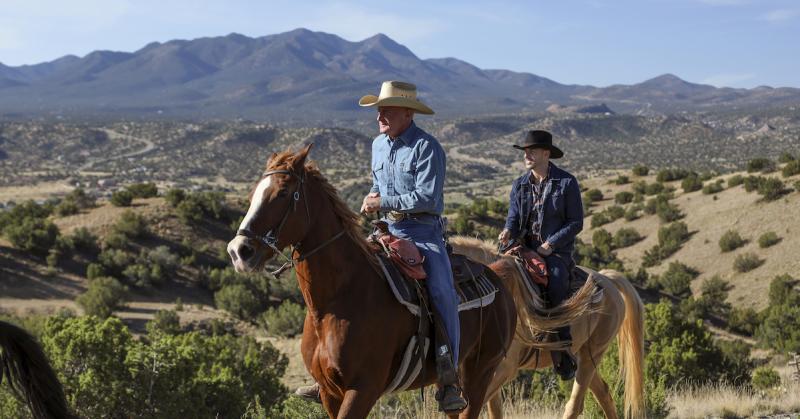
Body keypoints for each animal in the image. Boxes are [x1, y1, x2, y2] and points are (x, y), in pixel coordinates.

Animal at [227, 146, 520, 418]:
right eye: (252, 195)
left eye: (283, 193)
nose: (238, 251)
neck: (336, 301)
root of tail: (497, 280)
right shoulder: (330, 393)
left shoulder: (363, 389)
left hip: (480, 373)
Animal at [450, 236, 648, 419]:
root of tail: (607, 279)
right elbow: (493, 411)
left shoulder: (504, 369)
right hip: (583, 356)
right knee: (604, 394)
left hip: (592, 355)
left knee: (574, 406)